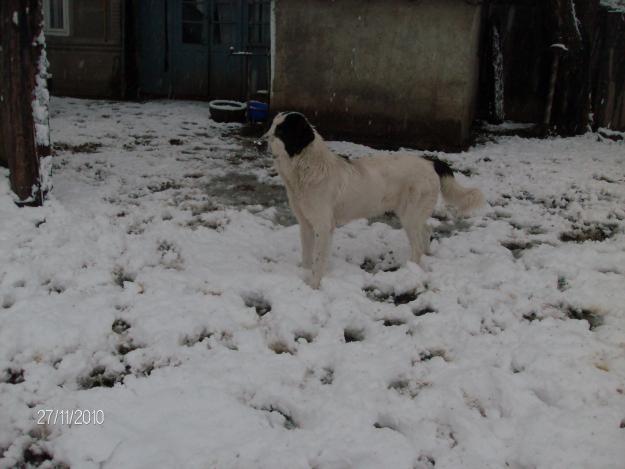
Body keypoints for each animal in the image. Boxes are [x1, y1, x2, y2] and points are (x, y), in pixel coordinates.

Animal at [264, 112, 482, 288]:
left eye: (281, 130)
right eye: (272, 125)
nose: (262, 139)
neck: (306, 168)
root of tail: (431, 162)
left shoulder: (323, 226)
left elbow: (318, 260)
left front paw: (314, 286)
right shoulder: (306, 224)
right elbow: (307, 257)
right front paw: (304, 275)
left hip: (410, 216)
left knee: (417, 246)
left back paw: (411, 270)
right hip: (414, 214)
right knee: (426, 231)